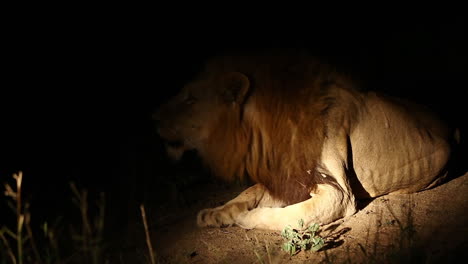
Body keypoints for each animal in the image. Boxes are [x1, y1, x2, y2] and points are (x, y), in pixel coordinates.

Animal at [154, 51, 458, 231]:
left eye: (190, 99)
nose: (152, 117)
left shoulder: (337, 192)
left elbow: (284, 215)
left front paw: (244, 219)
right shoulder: (286, 179)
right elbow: (247, 194)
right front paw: (214, 214)